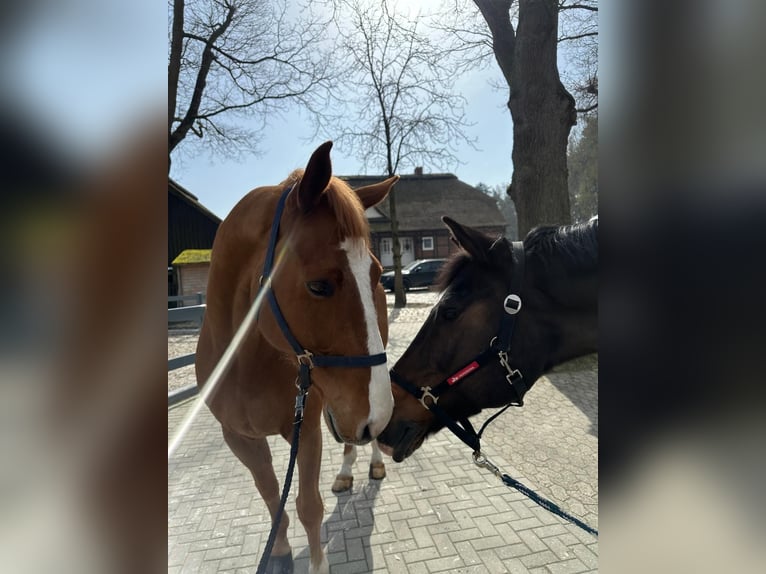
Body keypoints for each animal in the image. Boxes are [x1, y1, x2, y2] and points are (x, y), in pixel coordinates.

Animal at [195, 141, 398, 574]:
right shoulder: (239, 438)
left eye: (375, 273)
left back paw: (370, 463)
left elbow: (308, 507)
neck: (246, 367)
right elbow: (273, 498)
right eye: (318, 286)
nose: (378, 415)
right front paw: (281, 552)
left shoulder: (304, 432)